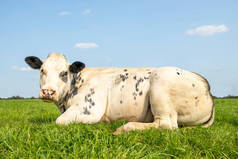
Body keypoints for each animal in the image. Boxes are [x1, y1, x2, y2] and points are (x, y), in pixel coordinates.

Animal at [25, 52, 215, 134]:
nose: (48, 92)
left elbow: (59, 121)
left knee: (166, 124)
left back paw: (124, 128)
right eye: (42, 70)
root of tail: (204, 83)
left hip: (161, 85)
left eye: (64, 72)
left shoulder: (89, 109)